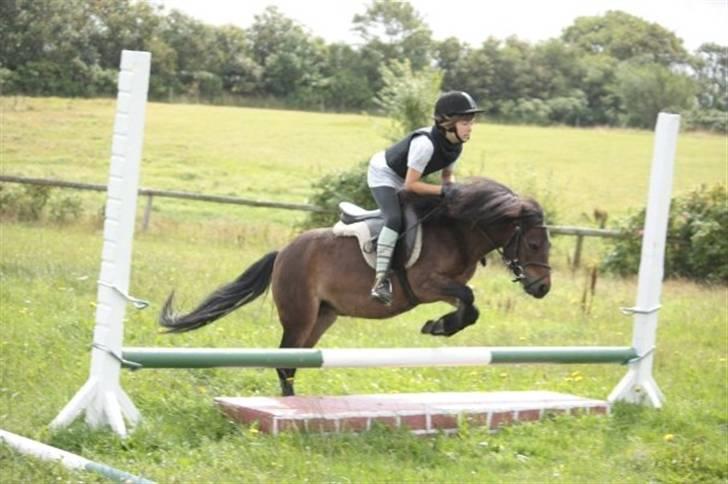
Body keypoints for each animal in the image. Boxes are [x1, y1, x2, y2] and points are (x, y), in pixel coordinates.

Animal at [159, 177, 552, 396]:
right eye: (534, 244)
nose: (543, 288)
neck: (456, 231)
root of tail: (284, 252)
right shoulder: (426, 284)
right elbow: (468, 300)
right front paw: (439, 326)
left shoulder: (447, 286)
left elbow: (470, 307)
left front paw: (441, 325)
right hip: (299, 316)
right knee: (284, 361)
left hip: (322, 317)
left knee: (294, 362)